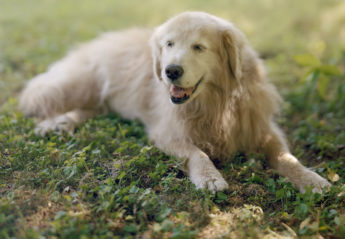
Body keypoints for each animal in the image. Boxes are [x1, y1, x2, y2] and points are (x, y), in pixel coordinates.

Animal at [19, 12, 330, 193]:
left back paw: (63, 122)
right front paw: (209, 177)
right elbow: (197, 153)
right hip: (77, 84)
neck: (215, 103)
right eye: (169, 44)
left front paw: (310, 179)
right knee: (38, 97)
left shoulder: (262, 128)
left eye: (199, 47)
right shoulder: (167, 132)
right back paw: (55, 122)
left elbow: (286, 157)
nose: (171, 71)